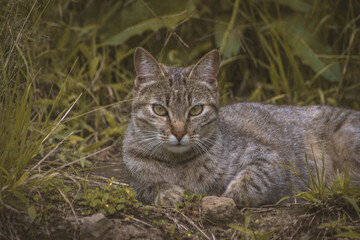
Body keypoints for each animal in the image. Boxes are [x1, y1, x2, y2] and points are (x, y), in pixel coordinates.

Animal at [121, 47, 360, 206]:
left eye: (196, 110)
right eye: (159, 109)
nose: (179, 132)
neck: (177, 163)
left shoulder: (271, 157)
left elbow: (254, 177)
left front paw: (231, 194)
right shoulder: (134, 180)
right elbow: (147, 187)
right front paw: (167, 192)